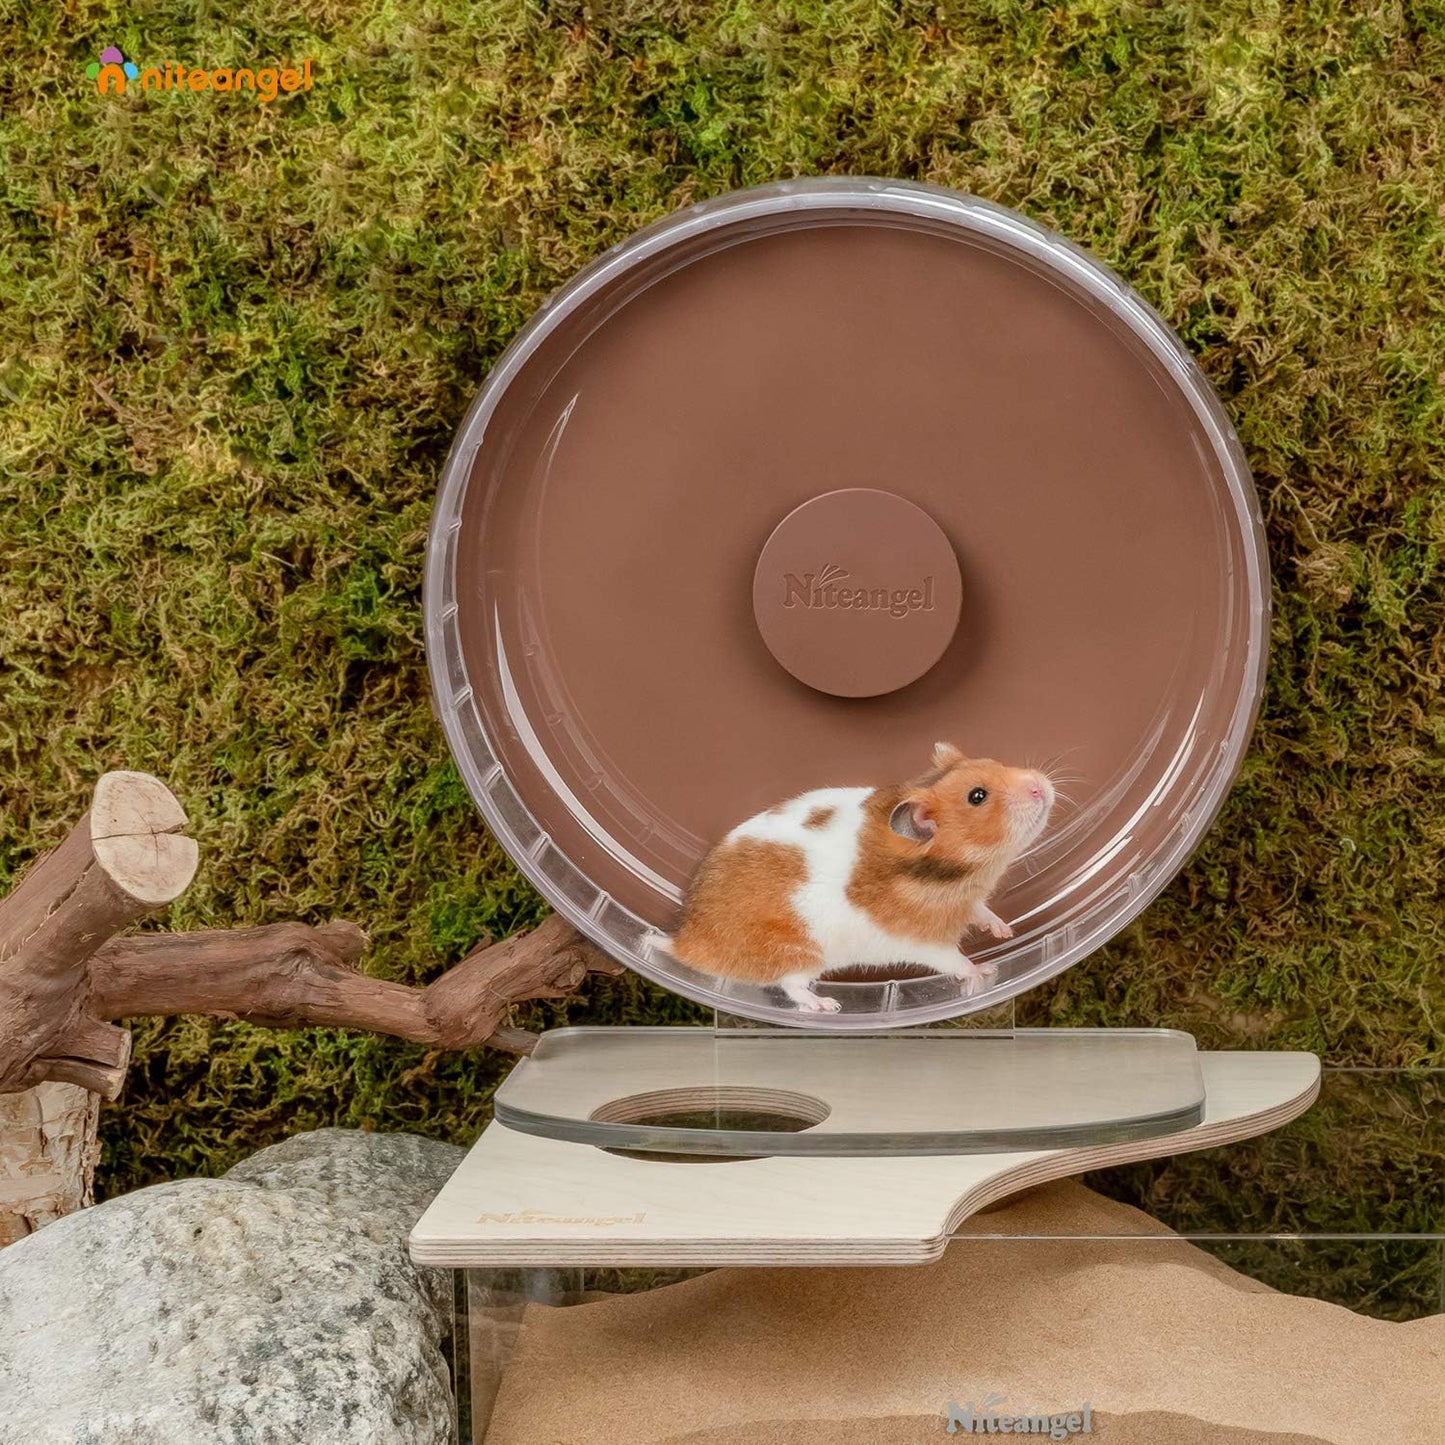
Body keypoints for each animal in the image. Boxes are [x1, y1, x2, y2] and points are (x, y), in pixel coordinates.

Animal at [659, 743, 1055, 1012]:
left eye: (994, 763)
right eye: (977, 796)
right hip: (800, 954)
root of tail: (684, 940)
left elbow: (982, 911)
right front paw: (985, 972)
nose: (1042, 785)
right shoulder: (925, 943)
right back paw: (827, 1005)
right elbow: (956, 961)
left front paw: (1006, 932)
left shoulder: (970, 901)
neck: (961, 874)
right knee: (791, 987)